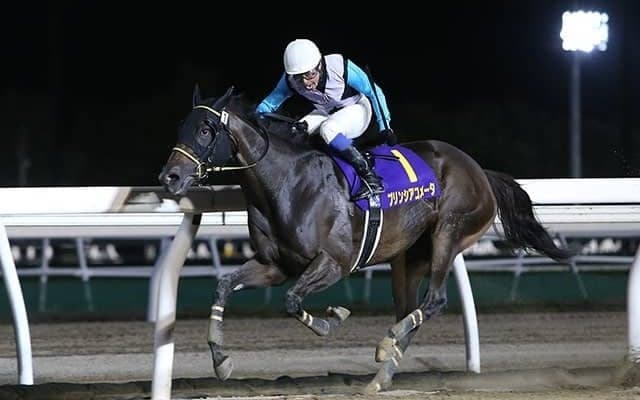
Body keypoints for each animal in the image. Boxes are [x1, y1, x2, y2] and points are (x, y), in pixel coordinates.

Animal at [158, 84, 572, 393]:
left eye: (206, 130)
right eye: (180, 126)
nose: (170, 178)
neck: (287, 184)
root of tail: (480, 171)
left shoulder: (335, 262)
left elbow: (292, 301)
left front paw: (333, 318)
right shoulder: (274, 265)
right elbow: (224, 287)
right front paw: (221, 362)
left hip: (449, 232)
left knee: (434, 301)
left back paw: (386, 345)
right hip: (409, 256)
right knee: (410, 309)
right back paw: (381, 376)